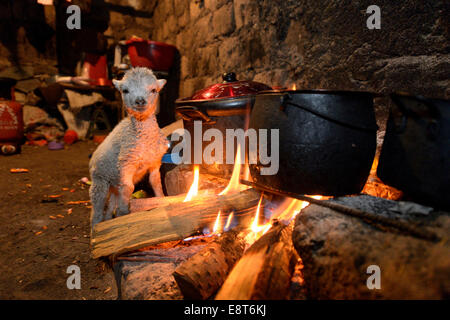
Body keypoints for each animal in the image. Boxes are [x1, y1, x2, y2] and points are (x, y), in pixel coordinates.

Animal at [89, 67, 168, 228]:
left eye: (153, 90)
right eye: (125, 90)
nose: (140, 101)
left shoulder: (155, 162)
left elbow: (156, 182)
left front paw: (161, 199)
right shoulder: (126, 163)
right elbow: (129, 187)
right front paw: (125, 212)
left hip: (113, 183)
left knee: (110, 204)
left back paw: (109, 220)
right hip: (99, 181)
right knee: (96, 209)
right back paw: (96, 227)